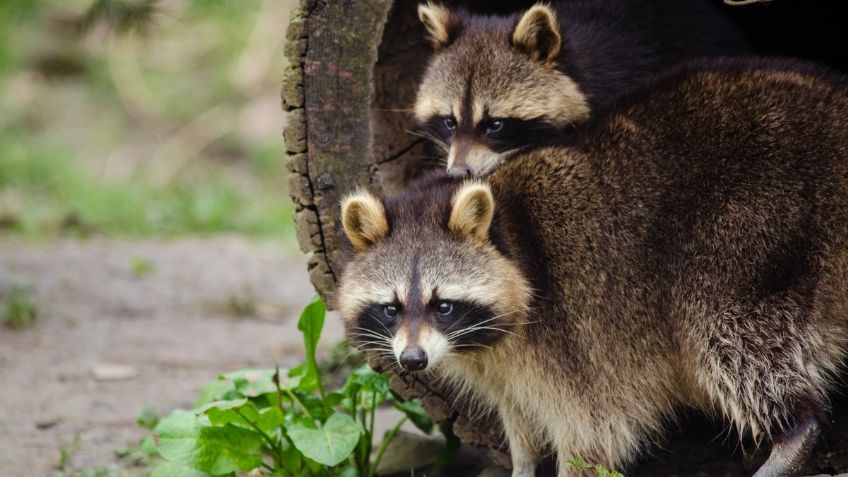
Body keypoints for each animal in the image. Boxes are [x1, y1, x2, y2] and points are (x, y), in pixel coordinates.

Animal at [338, 58, 848, 476]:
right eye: (390, 308)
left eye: (442, 305)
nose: (412, 360)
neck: (512, 233)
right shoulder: (500, 370)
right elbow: (519, 422)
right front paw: (522, 464)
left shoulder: (577, 342)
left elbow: (592, 435)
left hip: (749, 234)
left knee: (726, 335)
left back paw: (793, 430)